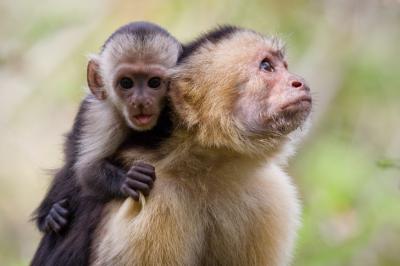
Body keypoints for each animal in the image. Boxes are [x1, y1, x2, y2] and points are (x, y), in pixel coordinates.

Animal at [31, 22, 181, 266]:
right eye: (126, 83)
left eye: (154, 83)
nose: (140, 101)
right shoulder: (102, 115)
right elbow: (87, 170)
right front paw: (129, 180)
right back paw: (50, 215)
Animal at [92, 25, 314, 266]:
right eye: (266, 66)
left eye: (285, 66)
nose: (300, 82)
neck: (204, 167)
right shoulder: (154, 199)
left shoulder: (269, 195)